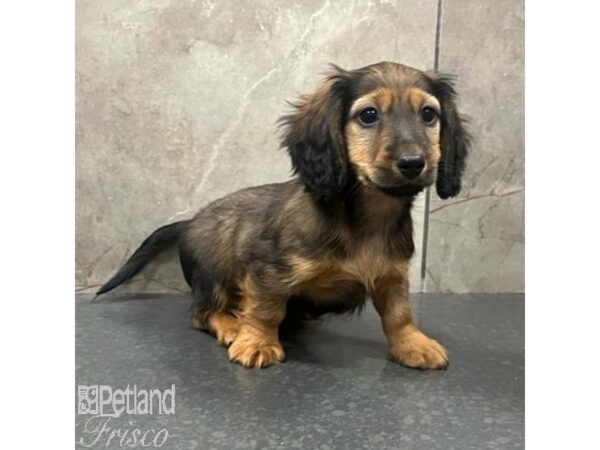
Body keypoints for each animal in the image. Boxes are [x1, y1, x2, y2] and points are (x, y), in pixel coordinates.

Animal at [98, 60, 472, 370]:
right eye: (368, 115)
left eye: (428, 114)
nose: (413, 163)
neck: (369, 217)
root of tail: (191, 220)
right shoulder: (268, 269)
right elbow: (266, 309)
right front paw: (257, 342)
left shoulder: (392, 275)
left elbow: (399, 313)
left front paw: (413, 344)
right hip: (213, 274)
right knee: (202, 314)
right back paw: (231, 324)